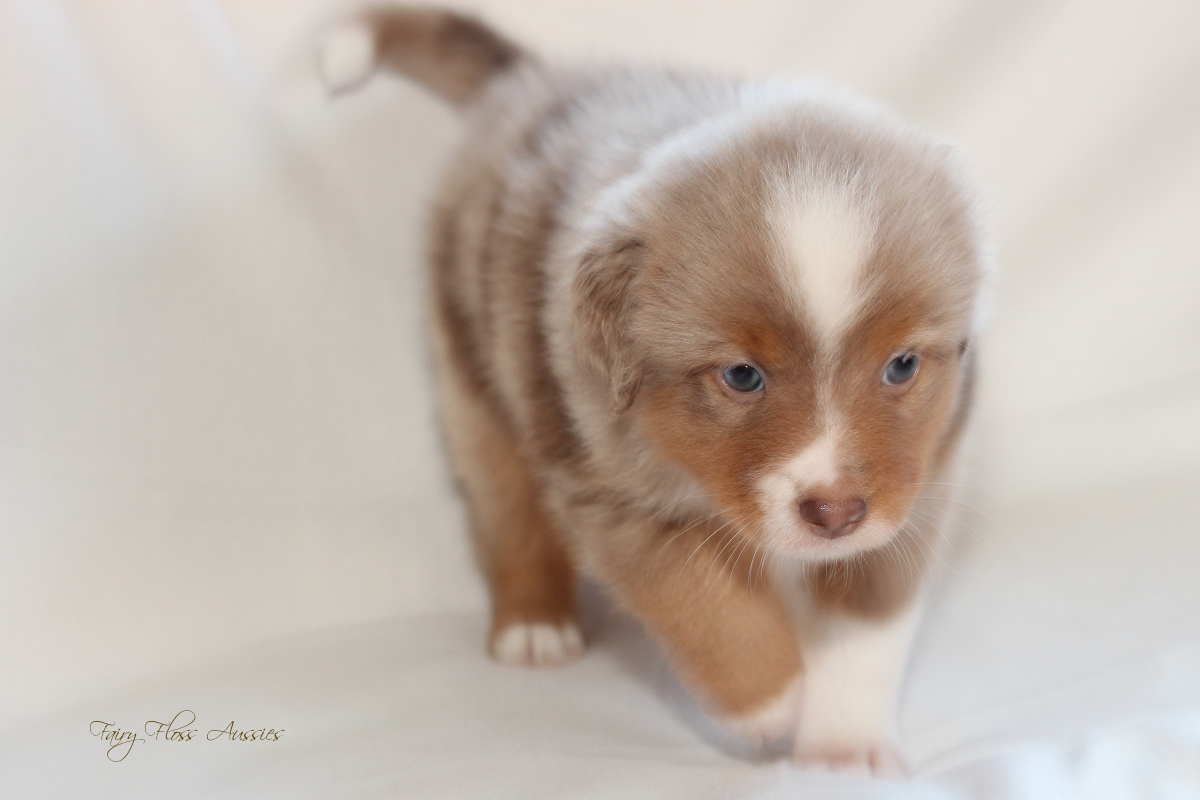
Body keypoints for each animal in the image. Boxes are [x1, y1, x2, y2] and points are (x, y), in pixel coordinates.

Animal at [321, 6, 984, 777]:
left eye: (902, 365)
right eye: (741, 375)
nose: (834, 514)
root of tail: (539, 79)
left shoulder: (919, 479)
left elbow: (864, 622)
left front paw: (842, 751)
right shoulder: (608, 483)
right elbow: (703, 601)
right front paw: (773, 702)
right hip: (473, 371)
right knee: (506, 506)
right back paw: (534, 624)